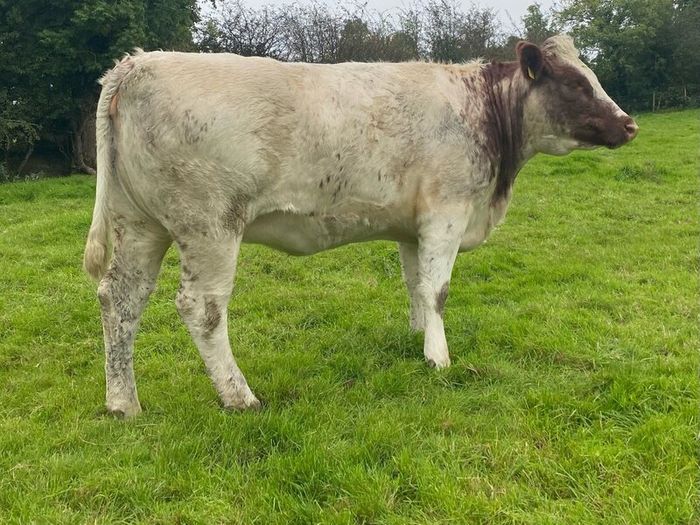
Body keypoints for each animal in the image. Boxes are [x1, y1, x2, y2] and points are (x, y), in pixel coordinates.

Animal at [84, 35, 638, 417]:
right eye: (577, 83)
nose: (629, 124)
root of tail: (137, 63)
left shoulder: (413, 227)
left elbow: (416, 285)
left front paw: (418, 338)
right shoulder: (447, 212)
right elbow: (438, 290)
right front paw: (439, 358)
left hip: (140, 223)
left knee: (121, 300)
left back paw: (123, 404)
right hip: (210, 225)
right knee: (201, 309)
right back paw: (240, 397)